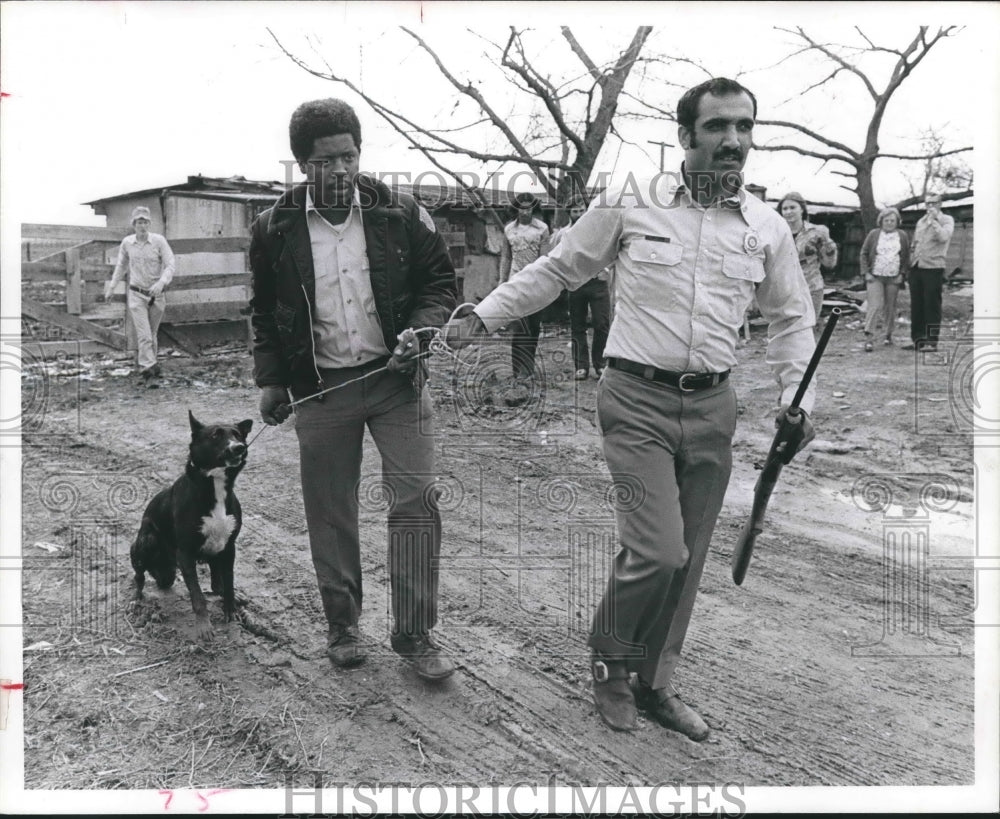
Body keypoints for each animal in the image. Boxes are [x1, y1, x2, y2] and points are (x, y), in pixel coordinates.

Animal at [130, 414, 252, 636]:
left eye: (238, 435)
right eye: (215, 435)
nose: (239, 447)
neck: (215, 485)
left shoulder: (229, 547)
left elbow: (228, 582)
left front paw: (230, 609)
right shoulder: (185, 553)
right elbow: (197, 595)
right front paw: (204, 626)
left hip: (214, 551)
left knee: (216, 583)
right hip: (145, 542)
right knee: (139, 576)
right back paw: (136, 599)